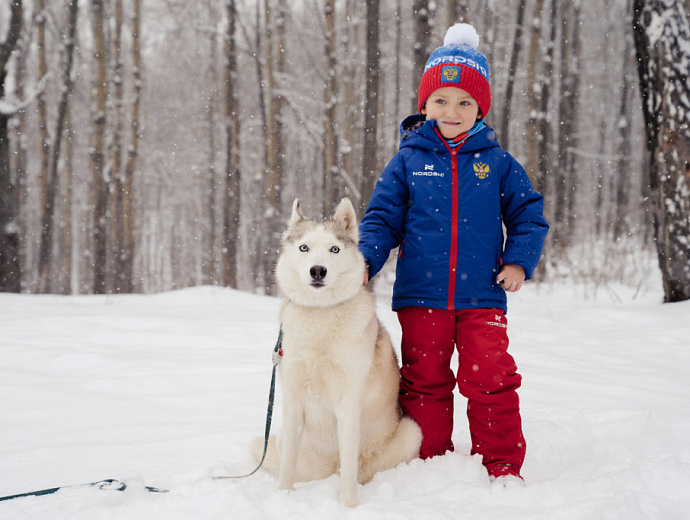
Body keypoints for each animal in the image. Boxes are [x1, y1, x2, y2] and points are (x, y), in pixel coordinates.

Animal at [256, 197, 420, 506]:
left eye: (334, 249)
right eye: (304, 248)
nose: (318, 270)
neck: (320, 315)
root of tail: (326, 470)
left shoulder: (348, 403)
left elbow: (348, 465)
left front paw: (347, 505)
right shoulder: (293, 401)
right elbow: (286, 465)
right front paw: (282, 497)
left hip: (411, 432)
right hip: (283, 436)